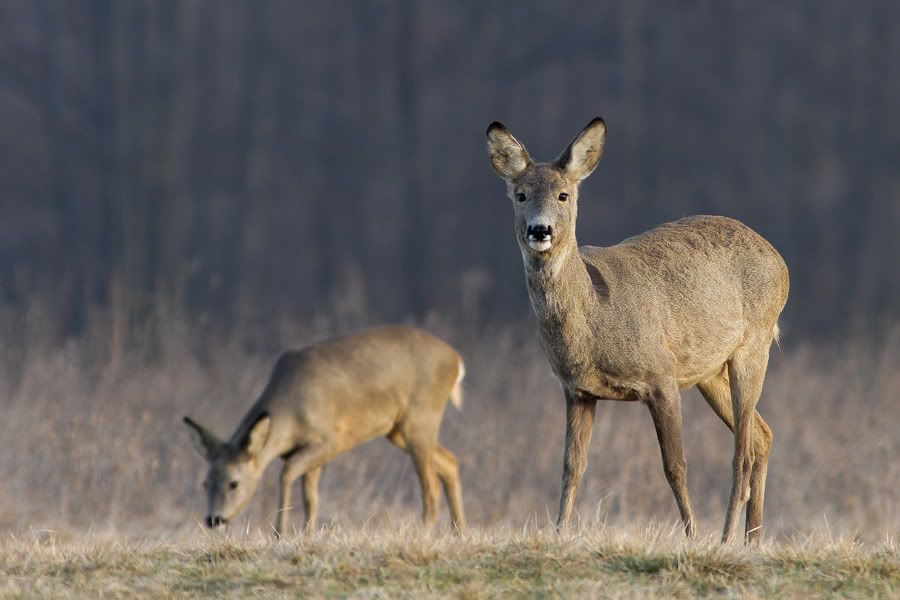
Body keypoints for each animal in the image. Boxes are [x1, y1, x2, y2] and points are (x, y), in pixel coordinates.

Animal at [180, 326, 468, 536]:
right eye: (205, 483)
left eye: (234, 483)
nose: (214, 519)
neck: (290, 413)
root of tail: (456, 360)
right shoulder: (307, 449)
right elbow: (311, 497)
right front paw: (307, 534)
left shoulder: (329, 439)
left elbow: (287, 473)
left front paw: (280, 534)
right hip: (397, 429)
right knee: (450, 461)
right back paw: (459, 531)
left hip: (421, 417)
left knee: (431, 487)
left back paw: (425, 533)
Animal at [486, 117, 788, 544]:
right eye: (521, 194)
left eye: (563, 195)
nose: (540, 230)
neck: (594, 317)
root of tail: (780, 261)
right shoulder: (577, 391)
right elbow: (571, 468)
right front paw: (559, 533)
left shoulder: (660, 376)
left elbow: (675, 466)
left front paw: (692, 536)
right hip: (709, 372)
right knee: (763, 436)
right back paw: (752, 541)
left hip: (754, 345)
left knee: (741, 452)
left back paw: (727, 537)